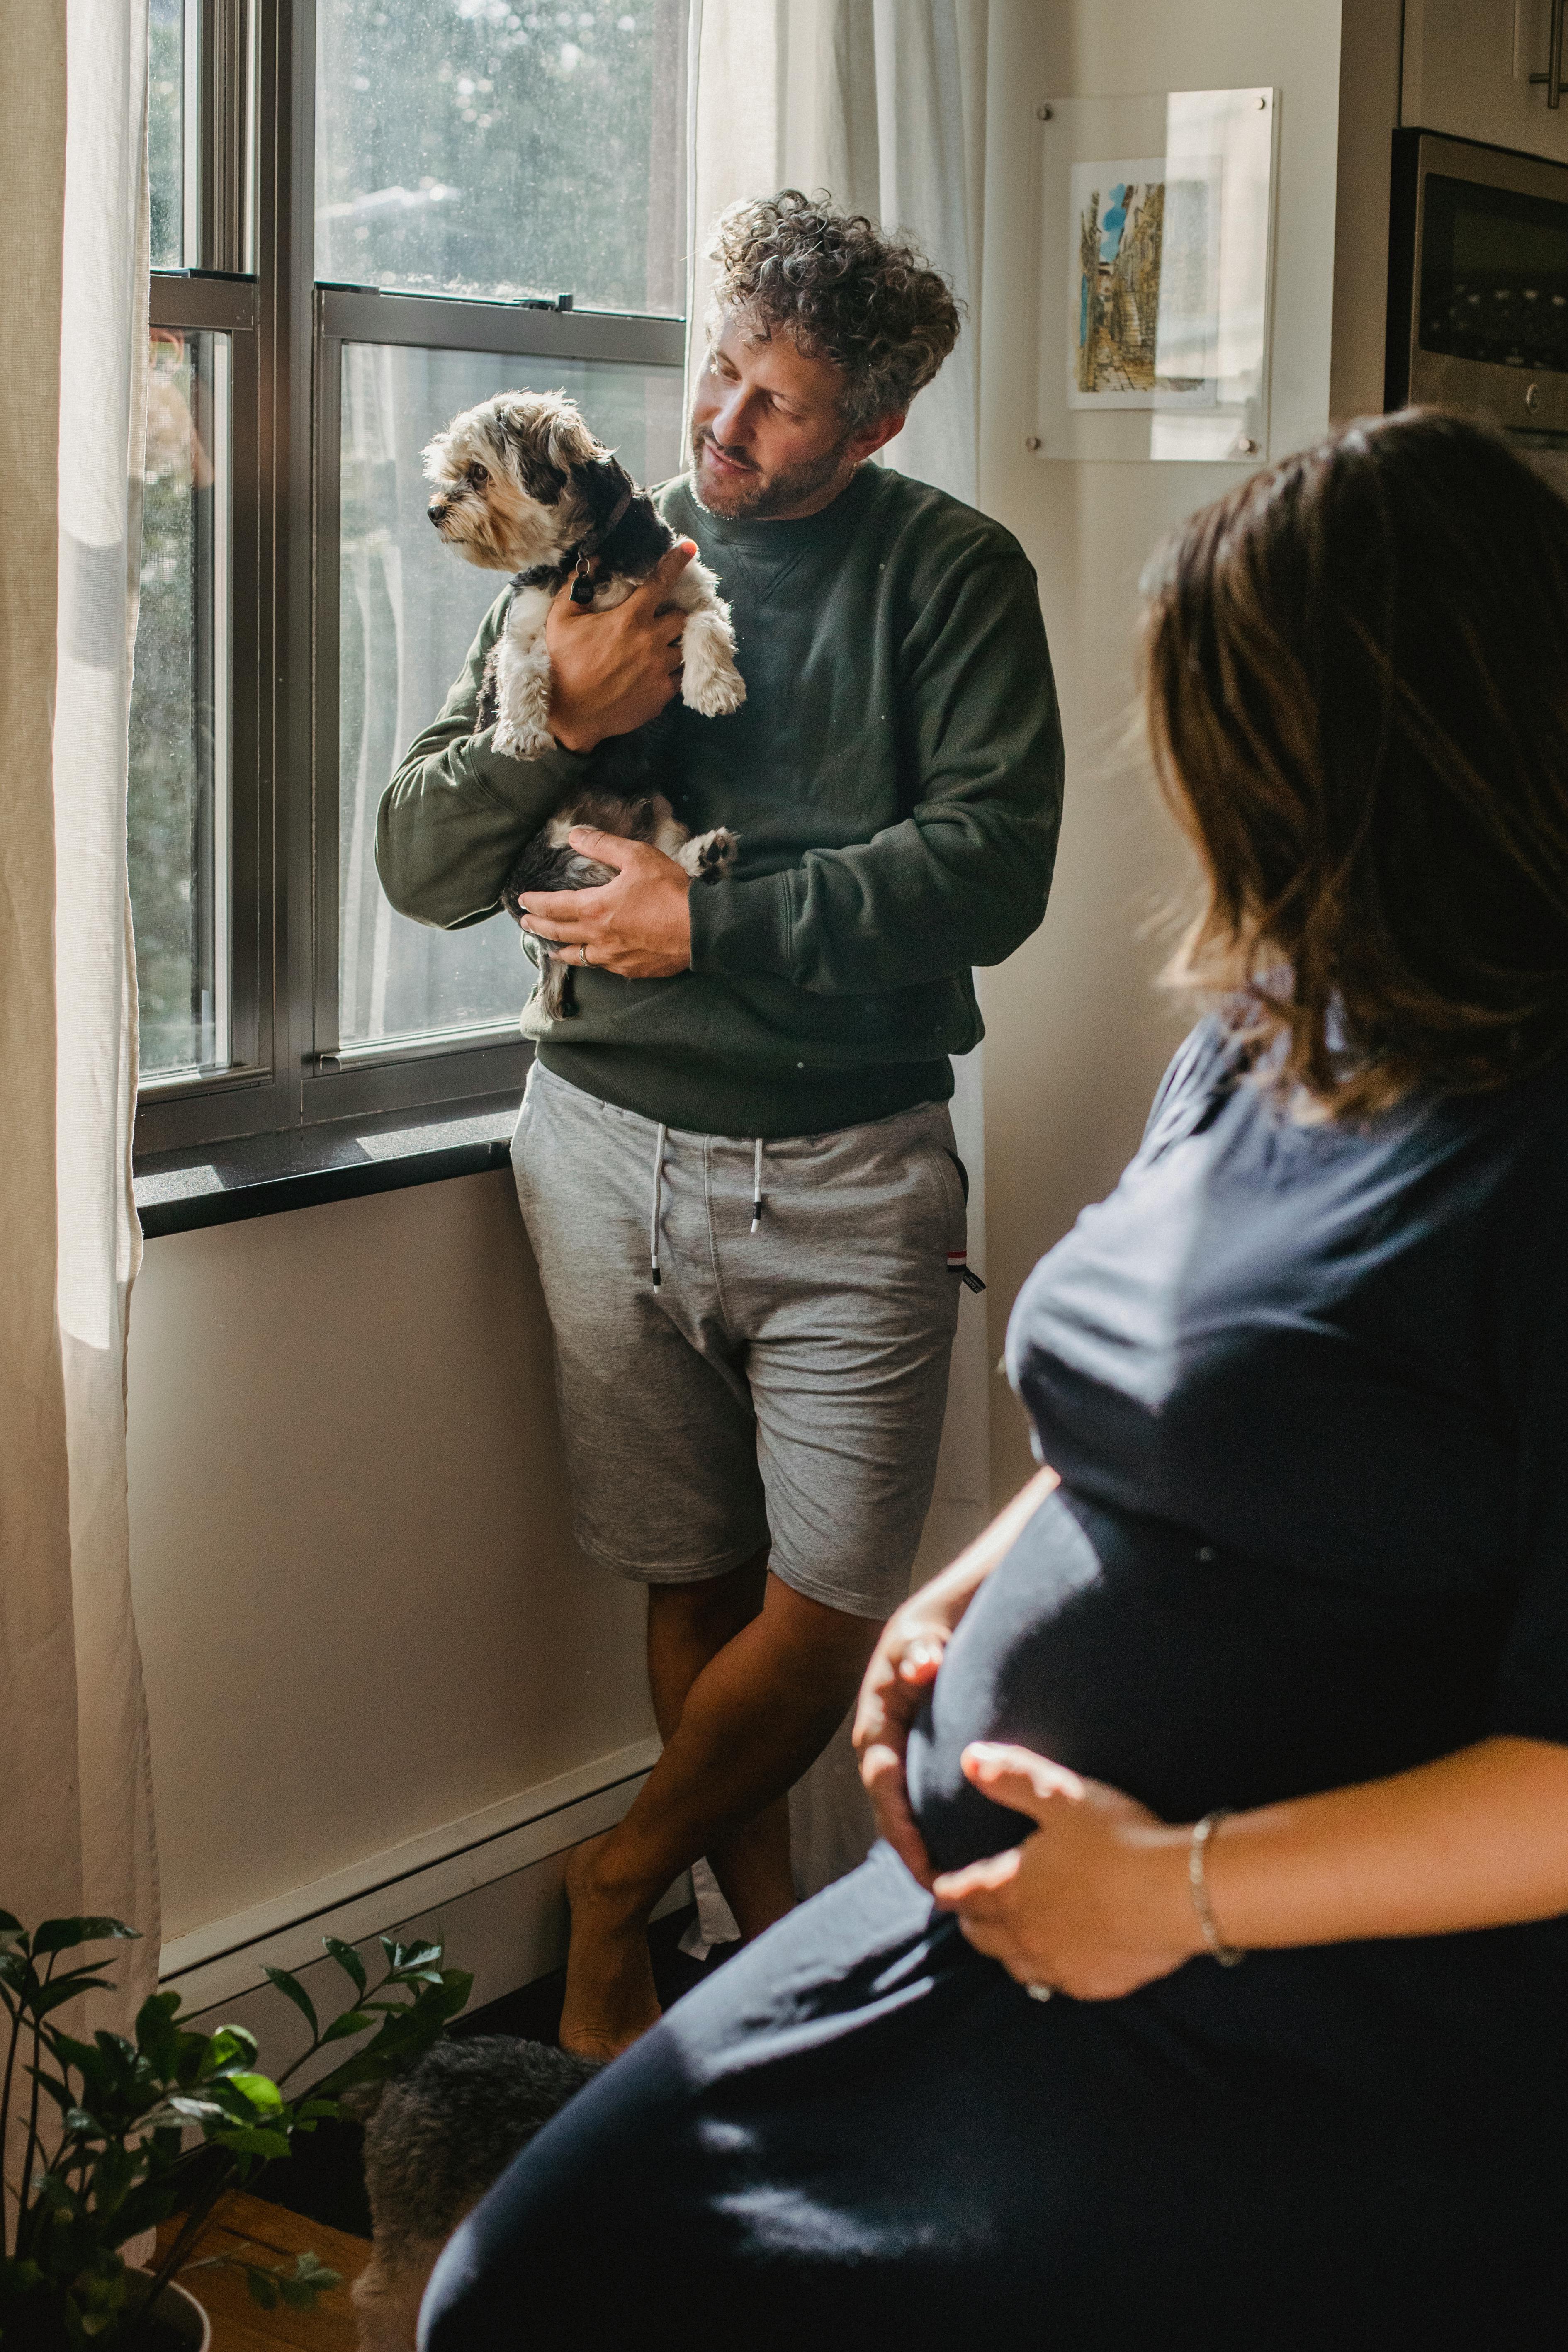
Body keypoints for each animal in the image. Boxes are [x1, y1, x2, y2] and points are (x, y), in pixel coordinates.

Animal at [421, 390, 747, 1025]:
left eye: (477, 473)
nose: (434, 511)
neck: (586, 556)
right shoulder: (523, 628)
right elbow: (524, 670)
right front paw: (522, 733)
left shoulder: (689, 587)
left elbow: (707, 625)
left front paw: (714, 688)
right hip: (558, 857)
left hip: (657, 811)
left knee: (663, 864)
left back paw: (708, 855)